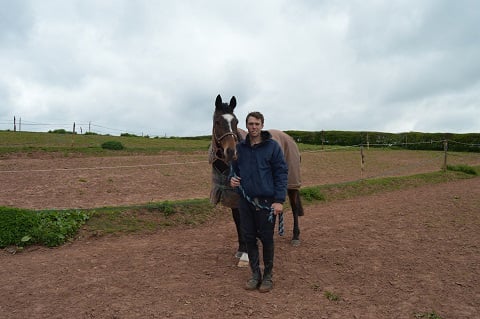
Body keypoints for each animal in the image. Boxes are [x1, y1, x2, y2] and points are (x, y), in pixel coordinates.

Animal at [209, 94, 304, 268]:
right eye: (217, 121)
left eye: (236, 121)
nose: (231, 152)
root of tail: (290, 139)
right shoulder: (232, 193)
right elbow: (237, 220)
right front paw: (241, 248)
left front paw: (246, 254)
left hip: (292, 184)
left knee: (294, 208)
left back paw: (295, 237)